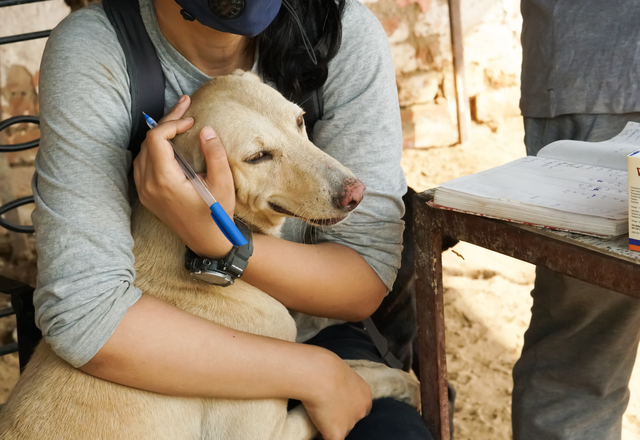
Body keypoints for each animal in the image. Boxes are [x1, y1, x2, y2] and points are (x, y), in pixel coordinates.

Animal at [0, 70, 420, 438]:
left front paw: (398, 375)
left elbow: (349, 361)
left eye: (300, 121)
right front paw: (397, 384)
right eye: (257, 157)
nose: (356, 194)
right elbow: (348, 378)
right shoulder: (266, 432)